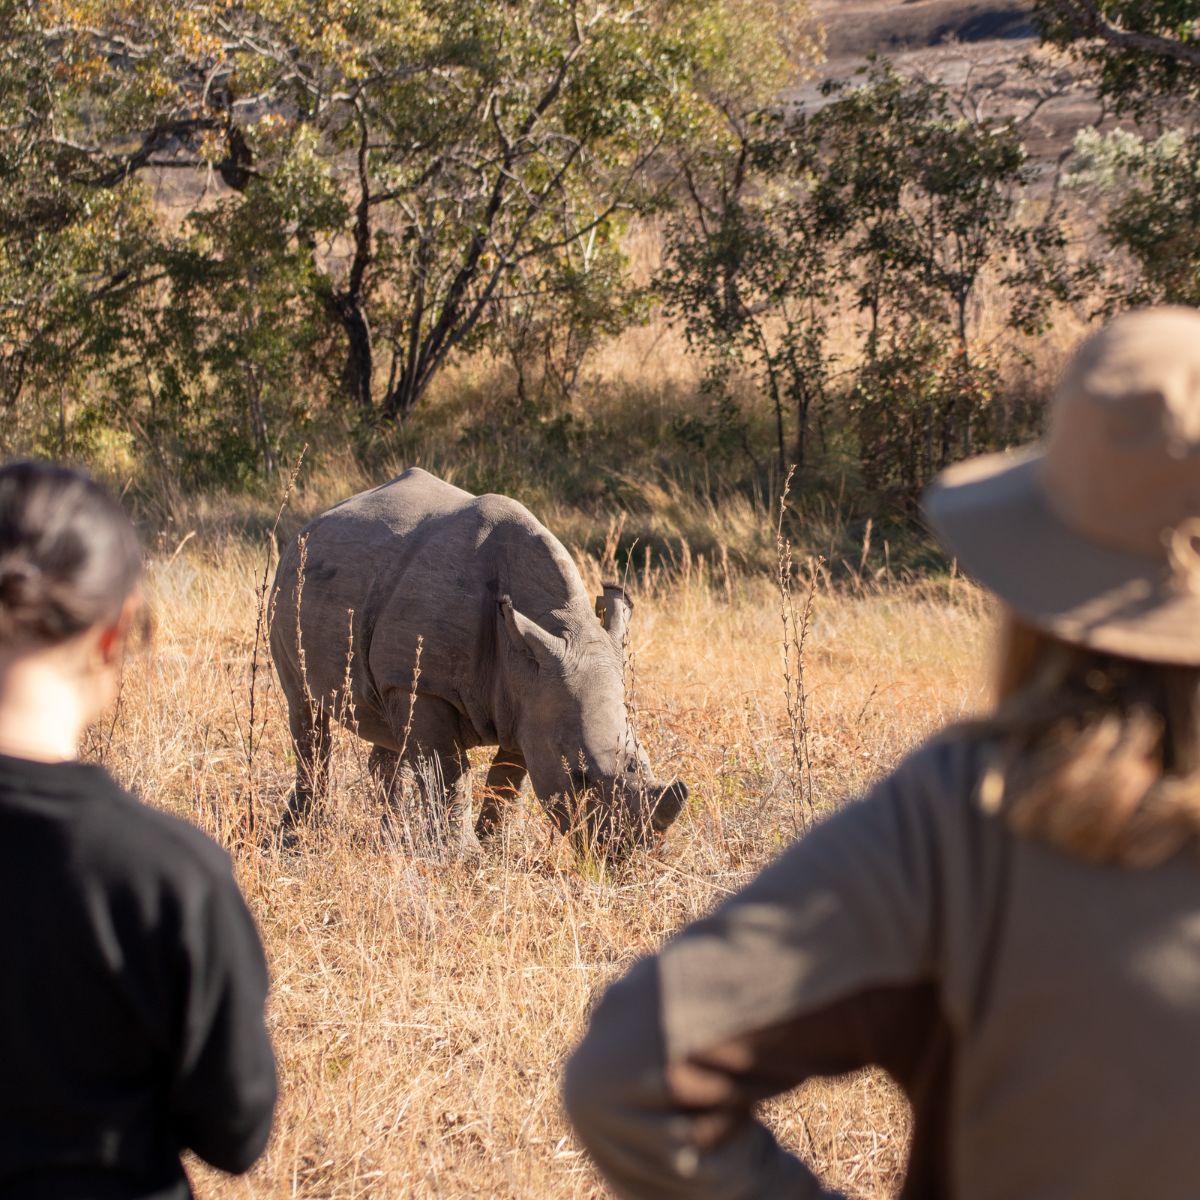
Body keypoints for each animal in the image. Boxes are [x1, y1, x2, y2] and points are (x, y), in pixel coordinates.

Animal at [269, 468, 687, 852]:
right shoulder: (427, 686)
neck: (562, 623)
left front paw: (495, 848)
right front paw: (463, 858)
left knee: (387, 727)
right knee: (305, 711)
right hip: (287, 584)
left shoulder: (532, 696)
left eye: (643, 761)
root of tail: (313, 522)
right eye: (580, 776)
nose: (631, 851)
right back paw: (297, 835)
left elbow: (507, 781)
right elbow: (450, 773)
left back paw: (390, 841)